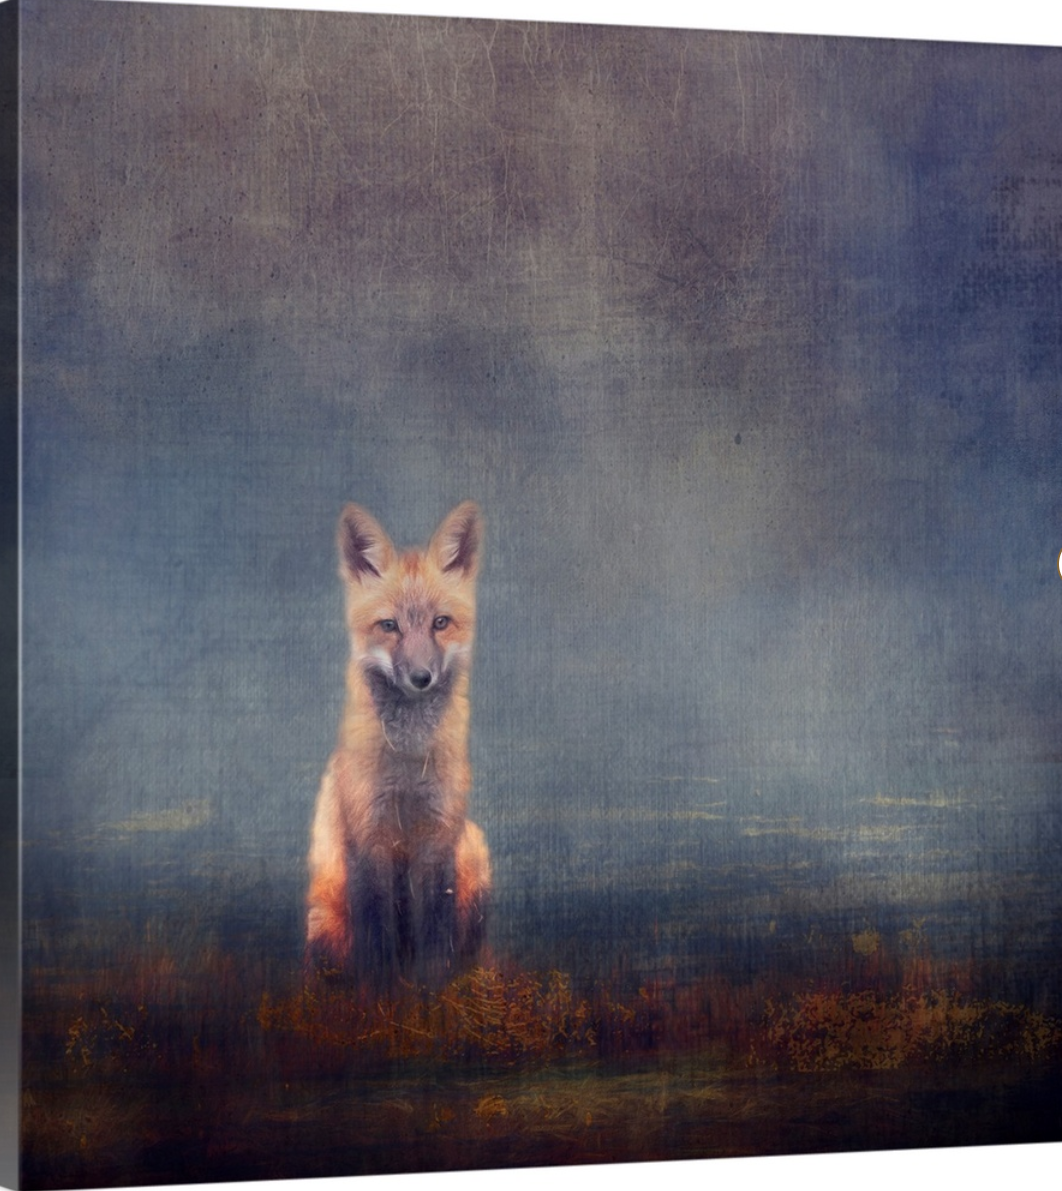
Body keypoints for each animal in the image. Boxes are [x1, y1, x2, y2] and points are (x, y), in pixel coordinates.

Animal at [305, 501, 490, 989]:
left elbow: (437, 934)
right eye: (389, 626)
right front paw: (380, 995)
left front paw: (434, 995)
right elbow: (375, 933)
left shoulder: (439, 835)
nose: (421, 678)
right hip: (324, 918)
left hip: (475, 852)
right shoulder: (367, 836)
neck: (409, 760)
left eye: (440, 623)